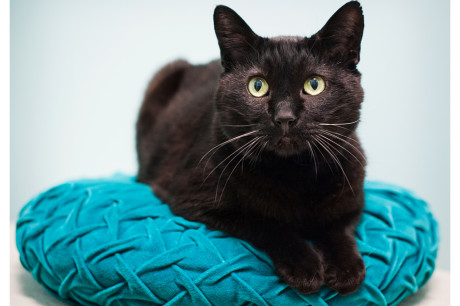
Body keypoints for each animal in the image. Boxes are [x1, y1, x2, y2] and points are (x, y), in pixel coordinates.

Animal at [136, 1, 366, 296]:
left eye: (314, 84)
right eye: (257, 86)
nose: (284, 117)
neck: (295, 174)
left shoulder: (353, 199)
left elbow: (338, 228)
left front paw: (347, 269)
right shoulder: (196, 201)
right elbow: (266, 223)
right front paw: (305, 267)